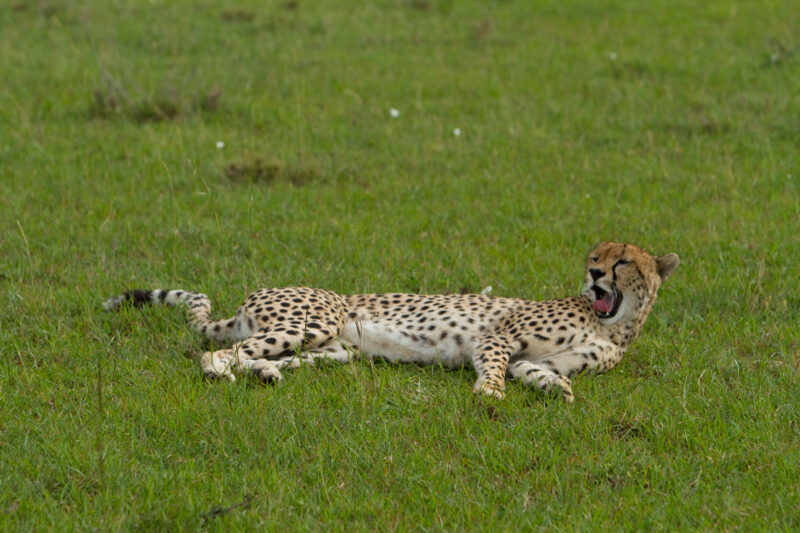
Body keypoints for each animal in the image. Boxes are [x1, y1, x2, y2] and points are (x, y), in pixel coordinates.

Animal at [103, 242, 678, 402]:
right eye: (596, 255)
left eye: (623, 261)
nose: (595, 273)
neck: (614, 325)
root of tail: (255, 292)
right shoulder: (499, 336)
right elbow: (495, 366)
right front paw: (489, 394)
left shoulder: (533, 358)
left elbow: (535, 373)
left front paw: (557, 389)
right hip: (313, 321)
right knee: (220, 352)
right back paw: (220, 372)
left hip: (334, 349)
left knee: (266, 358)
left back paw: (268, 374)